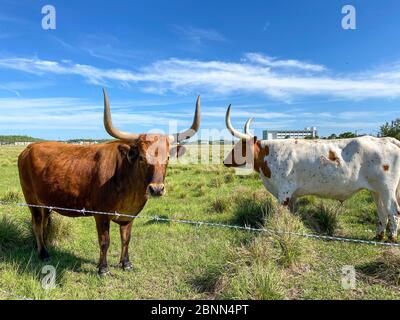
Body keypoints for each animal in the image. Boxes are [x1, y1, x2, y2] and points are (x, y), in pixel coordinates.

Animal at [18, 89, 200, 276]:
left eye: (168, 157)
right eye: (142, 157)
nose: (156, 189)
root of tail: (29, 147)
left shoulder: (130, 215)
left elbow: (126, 239)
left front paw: (126, 263)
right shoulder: (101, 214)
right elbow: (105, 241)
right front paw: (103, 268)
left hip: (46, 202)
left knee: (44, 223)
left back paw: (44, 247)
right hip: (31, 199)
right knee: (37, 224)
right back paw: (43, 253)